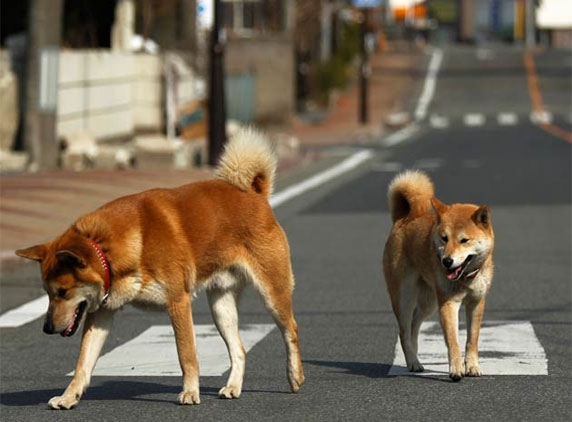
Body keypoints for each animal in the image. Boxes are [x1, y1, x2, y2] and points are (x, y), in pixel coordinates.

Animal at [15, 127, 304, 408]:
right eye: (48, 293)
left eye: (62, 292)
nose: (46, 328)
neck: (108, 250)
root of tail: (256, 195)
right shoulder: (102, 313)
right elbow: (83, 363)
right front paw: (69, 396)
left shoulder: (178, 301)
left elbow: (186, 354)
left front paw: (190, 392)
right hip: (221, 307)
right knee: (239, 350)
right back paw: (233, 386)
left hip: (272, 293)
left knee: (290, 328)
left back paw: (294, 375)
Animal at [382, 170, 494, 380]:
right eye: (444, 238)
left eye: (464, 240)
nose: (447, 261)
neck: (465, 279)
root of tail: (402, 219)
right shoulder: (448, 303)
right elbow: (453, 342)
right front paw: (456, 370)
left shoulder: (476, 303)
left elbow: (472, 339)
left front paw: (472, 367)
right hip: (405, 298)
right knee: (404, 332)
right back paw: (413, 362)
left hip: (429, 301)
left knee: (413, 326)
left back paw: (415, 358)